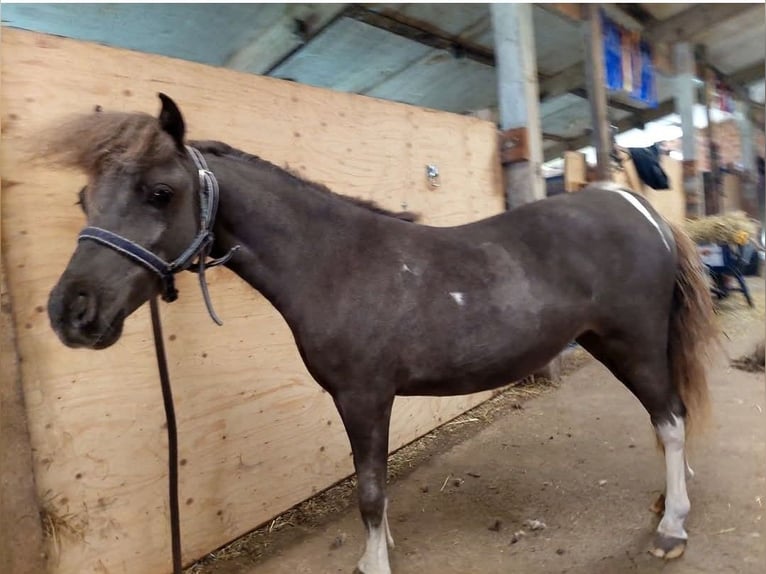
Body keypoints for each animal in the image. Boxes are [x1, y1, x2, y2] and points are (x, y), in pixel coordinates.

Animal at [45, 94, 717, 574]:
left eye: (160, 192)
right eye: (83, 197)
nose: (70, 312)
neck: (335, 262)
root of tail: (635, 206)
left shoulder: (363, 396)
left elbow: (368, 489)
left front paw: (373, 563)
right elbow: (375, 484)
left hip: (633, 343)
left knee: (671, 419)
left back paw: (672, 528)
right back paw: (667, 501)